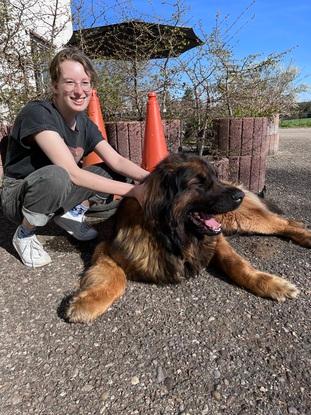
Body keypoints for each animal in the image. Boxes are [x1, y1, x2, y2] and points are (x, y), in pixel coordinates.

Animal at [65, 154, 310, 324]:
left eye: (215, 178)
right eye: (199, 183)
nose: (238, 196)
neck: (171, 233)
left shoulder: (215, 239)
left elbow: (236, 264)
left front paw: (272, 284)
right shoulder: (108, 248)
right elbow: (115, 277)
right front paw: (89, 301)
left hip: (240, 218)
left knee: (283, 223)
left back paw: (306, 236)